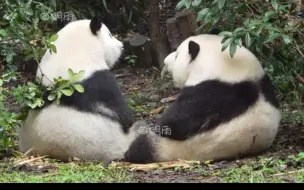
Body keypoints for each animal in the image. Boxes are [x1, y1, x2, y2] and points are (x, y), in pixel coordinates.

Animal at [124, 29, 282, 163]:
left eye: (177, 55)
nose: (165, 61)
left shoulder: (209, 91)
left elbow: (175, 121)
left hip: (167, 146)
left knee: (142, 146)